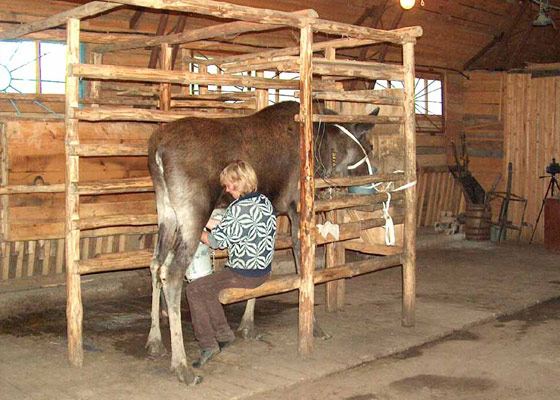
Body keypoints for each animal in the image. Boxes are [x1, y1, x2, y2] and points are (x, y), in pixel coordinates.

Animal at [147, 101, 378, 384]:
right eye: (370, 146)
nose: (370, 185)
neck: (323, 149)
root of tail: (157, 150)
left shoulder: (273, 210)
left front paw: (247, 325)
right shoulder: (296, 207)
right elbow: (304, 268)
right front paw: (314, 327)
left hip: (166, 211)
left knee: (156, 264)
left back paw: (155, 341)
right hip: (192, 211)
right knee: (172, 273)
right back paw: (181, 365)